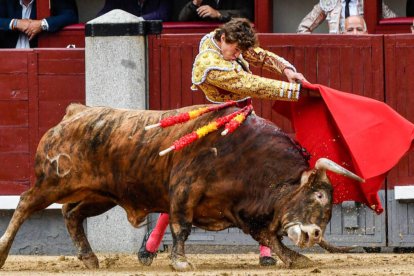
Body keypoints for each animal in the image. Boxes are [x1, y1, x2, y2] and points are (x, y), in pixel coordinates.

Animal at [0, 103, 362, 270]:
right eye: (317, 195)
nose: (314, 235)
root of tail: (75, 113)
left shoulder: (245, 211)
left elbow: (269, 237)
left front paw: (295, 258)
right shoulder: (185, 190)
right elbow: (182, 227)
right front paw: (180, 261)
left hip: (101, 195)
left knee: (72, 215)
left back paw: (89, 258)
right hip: (53, 182)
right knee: (25, 203)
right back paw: (4, 252)